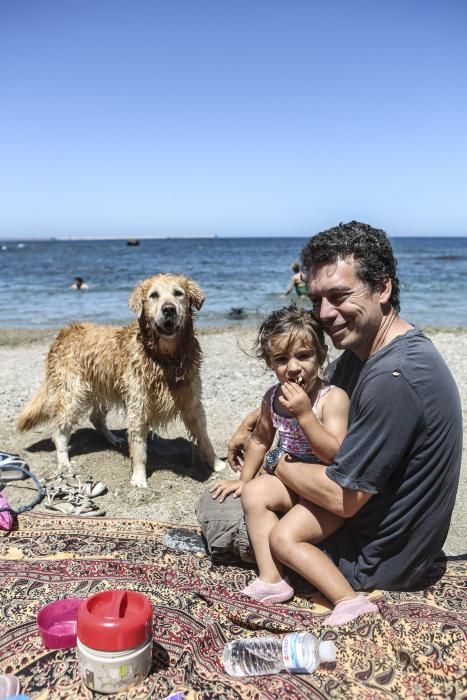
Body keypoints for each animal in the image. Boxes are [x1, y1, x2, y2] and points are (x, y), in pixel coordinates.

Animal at [16, 274, 225, 486]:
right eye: (154, 295)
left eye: (178, 293)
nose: (168, 309)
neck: (165, 358)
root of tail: (64, 333)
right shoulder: (138, 404)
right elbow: (139, 448)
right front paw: (139, 478)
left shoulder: (192, 402)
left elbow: (204, 437)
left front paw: (217, 463)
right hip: (72, 393)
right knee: (60, 432)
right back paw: (64, 461)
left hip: (105, 387)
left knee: (96, 417)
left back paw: (113, 439)